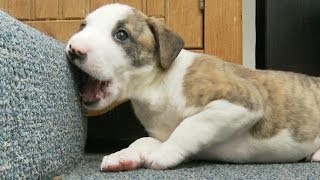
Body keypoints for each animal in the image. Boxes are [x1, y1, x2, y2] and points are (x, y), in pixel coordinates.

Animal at [65, 3, 320, 171]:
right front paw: (123, 156)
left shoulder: (241, 101)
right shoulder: (162, 133)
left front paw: (163, 154)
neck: (157, 84)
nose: (74, 50)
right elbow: (143, 141)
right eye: (82, 26)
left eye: (121, 35)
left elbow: (189, 126)